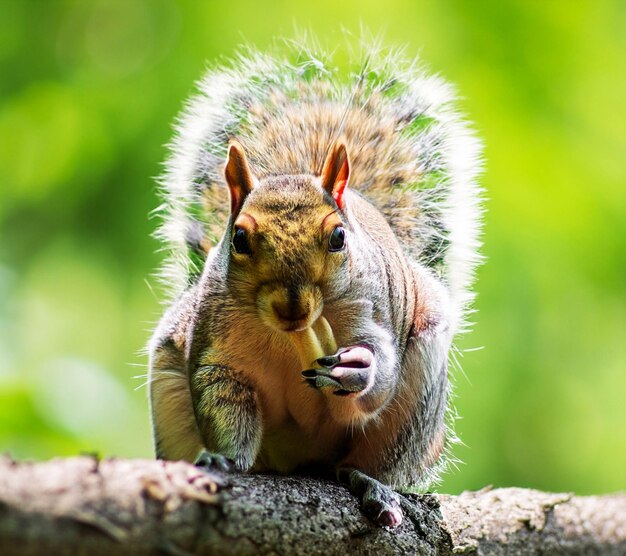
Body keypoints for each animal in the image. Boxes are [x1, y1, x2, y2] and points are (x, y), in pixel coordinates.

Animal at [147, 42, 482, 524]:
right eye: (239, 238)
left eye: (339, 237)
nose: (293, 309)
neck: (289, 340)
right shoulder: (216, 342)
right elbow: (221, 395)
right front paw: (222, 459)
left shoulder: (370, 306)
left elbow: (380, 374)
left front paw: (360, 367)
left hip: (418, 405)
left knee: (377, 457)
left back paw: (372, 485)